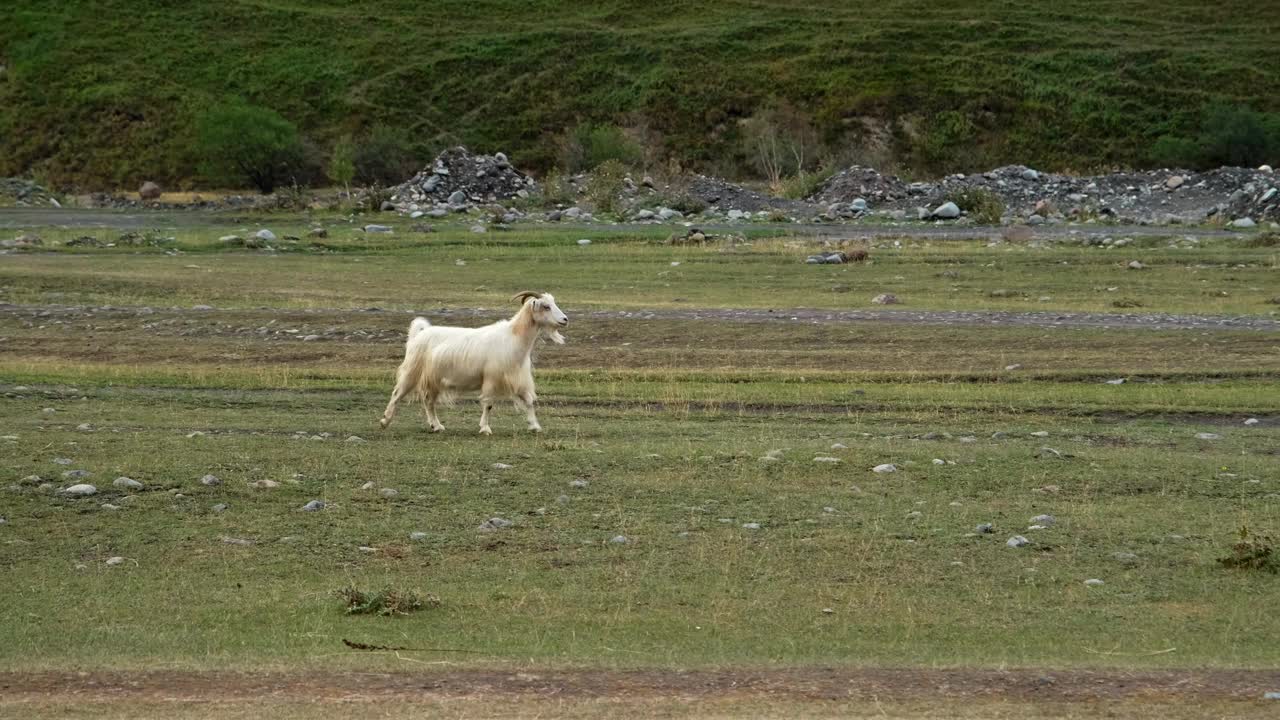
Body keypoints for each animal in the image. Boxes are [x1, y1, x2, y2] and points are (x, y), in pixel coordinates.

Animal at [373, 289, 565, 430]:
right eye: (546, 306)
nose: (565, 319)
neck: (513, 337)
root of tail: (420, 333)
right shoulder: (491, 378)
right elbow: (488, 404)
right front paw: (485, 428)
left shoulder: (518, 379)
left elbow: (529, 401)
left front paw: (535, 426)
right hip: (413, 371)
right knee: (397, 393)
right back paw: (385, 421)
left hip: (433, 379)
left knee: (428, 401)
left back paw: (436, 426)